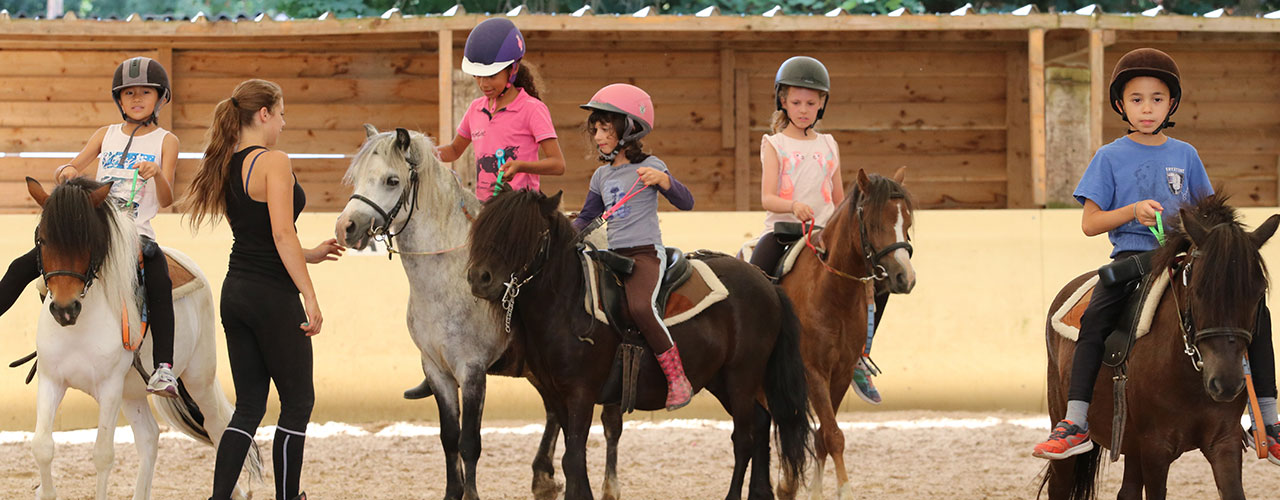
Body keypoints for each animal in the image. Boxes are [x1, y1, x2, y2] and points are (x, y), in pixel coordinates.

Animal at [468, 190, 808, 500]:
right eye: (483, 227)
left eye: (524, 232)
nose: (479, 277)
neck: (568, 302)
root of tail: (765, 282)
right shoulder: (556, 394)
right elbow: (572, 457)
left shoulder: (580, 394)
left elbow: (573, 458)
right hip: (721, 379)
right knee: (761, 423)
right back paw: (761, 492)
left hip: (742, 375)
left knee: (744, 437)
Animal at [773, 166, 916, 498]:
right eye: (874, 223)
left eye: (907, 223)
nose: (905, 277)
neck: (831, 293)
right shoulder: (813, 371)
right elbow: (833, 435)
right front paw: (844, 489)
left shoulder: (840, 372)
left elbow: (825, 436)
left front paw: (816, 491)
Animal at [1039, 195, 1280, 500]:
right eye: (1198, 289)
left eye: (1257, 293)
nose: (1225, 383)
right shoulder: (1156, 448)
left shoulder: (1225, 442)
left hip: (1131, 443)